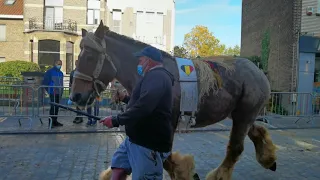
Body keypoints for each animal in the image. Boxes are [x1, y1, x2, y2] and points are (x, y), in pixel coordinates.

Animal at [70, 21, 278, 180]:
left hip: (243, 116)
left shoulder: (166, 125)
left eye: (89, 56)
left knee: (235, 149)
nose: (75, 96)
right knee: (256, 132)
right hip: (241, 116)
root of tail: (258, 71)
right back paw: (268, 158)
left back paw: (220, 174)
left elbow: (168, 161)